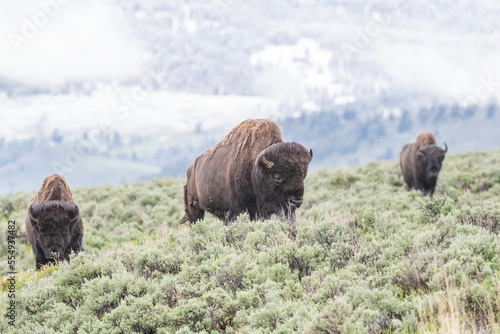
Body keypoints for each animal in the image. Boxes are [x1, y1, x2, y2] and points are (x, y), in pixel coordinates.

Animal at [180, 118, 312, 224]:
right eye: (278, 177)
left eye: (303, 175)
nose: (296, 200)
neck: (256, 169)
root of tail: (190, 169)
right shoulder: (239, 211)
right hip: (195, 208)